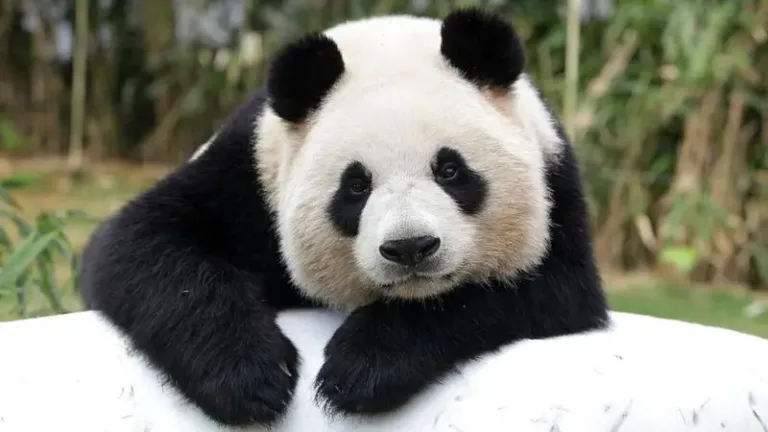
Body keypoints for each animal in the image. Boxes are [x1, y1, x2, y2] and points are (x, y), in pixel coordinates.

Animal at [78, 7, 609, 428]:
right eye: (356, 186)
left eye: (450, 170)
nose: (410, 248)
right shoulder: (247, 174)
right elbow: (141, 245)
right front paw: (251, 377)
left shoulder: (555, 183)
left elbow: (542, 290)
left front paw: (361, 368)